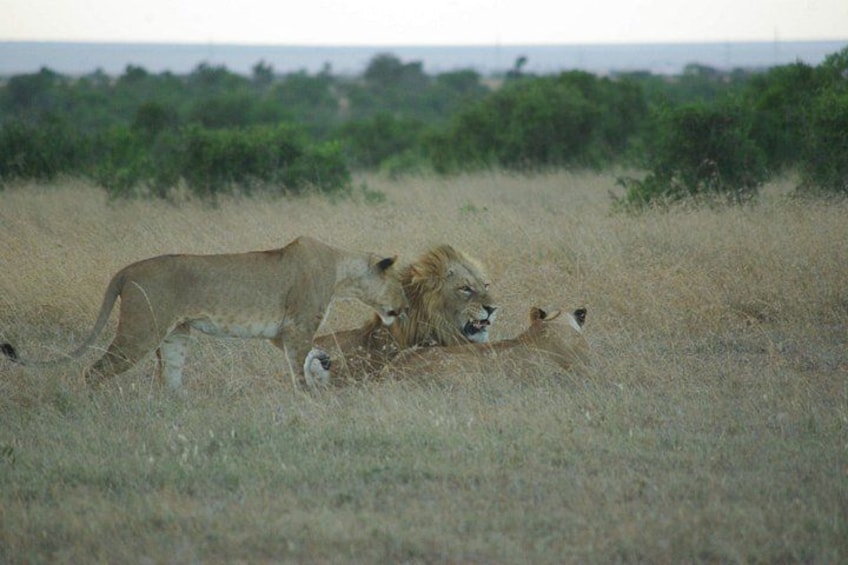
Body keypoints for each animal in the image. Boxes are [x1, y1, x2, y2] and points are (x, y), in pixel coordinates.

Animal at [1, 236, 407, 391]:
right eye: (402, 287)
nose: (402, 311)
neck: (340, 271)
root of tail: (126, 271)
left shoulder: (281, 333)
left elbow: (313, 352)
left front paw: (322, 362)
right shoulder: (297, 327)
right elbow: (299, 367)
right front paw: (309, 396)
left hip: (175, 335)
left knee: (169, 380)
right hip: (139, 331)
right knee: (94, 371)